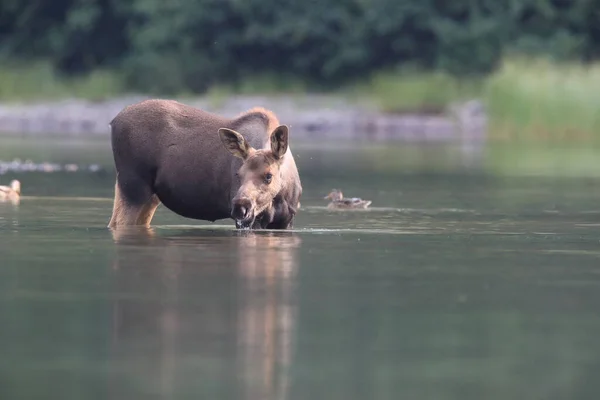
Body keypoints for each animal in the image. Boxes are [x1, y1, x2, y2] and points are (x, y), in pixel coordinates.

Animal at [107, 99, 302, 230]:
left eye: (269, 175)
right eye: (238, 174)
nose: (241, 206)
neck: (281, 195)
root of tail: (113, 121)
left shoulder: (287, 220)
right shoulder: (252, 220)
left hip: (148, 195)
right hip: (133, 186)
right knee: (119, 222)